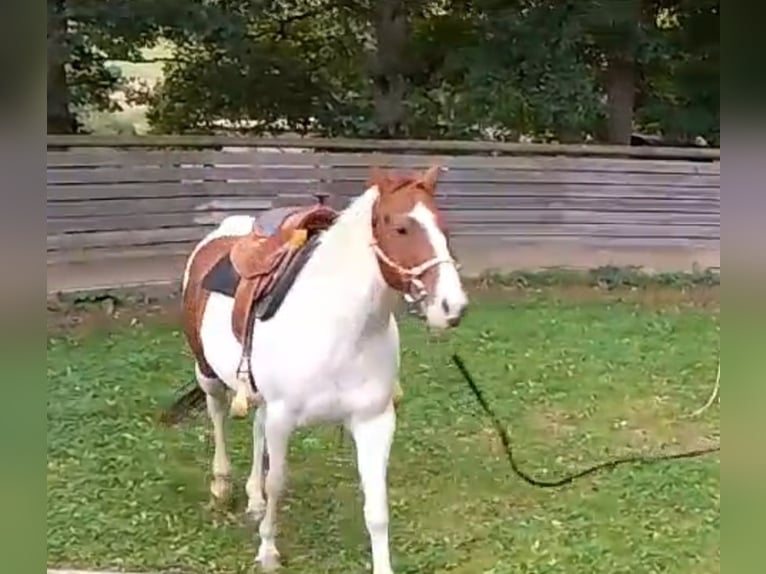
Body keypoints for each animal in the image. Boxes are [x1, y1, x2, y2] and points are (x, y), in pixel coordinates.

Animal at [166, 165, 469, 573]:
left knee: (256, 429)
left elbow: (376, 507)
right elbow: (277, 482)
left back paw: (253, 498)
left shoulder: (374, 421)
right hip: (208, 373)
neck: (339, 327)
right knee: (218, 417)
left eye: (444, 227)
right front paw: (267, 550)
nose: (452, 307)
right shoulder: (283, 417)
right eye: (400, 228)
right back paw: (222, 486)